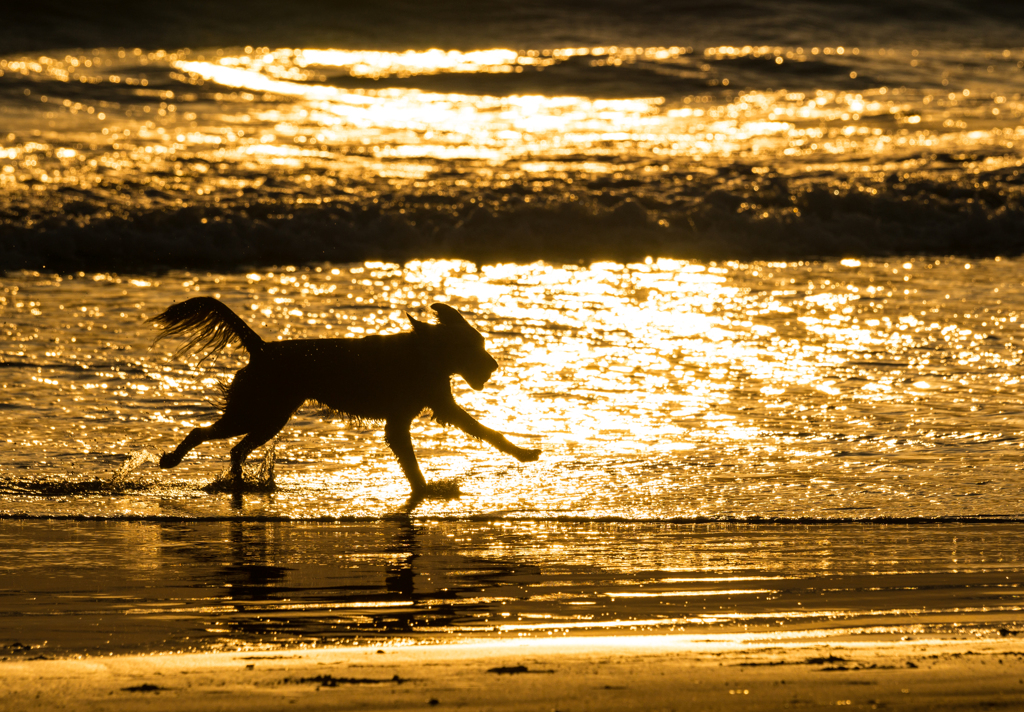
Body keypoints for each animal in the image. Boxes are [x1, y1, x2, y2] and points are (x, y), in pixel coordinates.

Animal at [149, 297, 544, 495]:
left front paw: (522, 452)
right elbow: (416, 457)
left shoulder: (439, 406)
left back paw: (240, 483)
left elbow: (486, 431)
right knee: (204, 433)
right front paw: (425, 488)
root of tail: (262, 349)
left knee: (236, 447)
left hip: (270, 415)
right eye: (472, 346)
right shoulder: (401, 422)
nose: (493, 366)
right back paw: (173, 460)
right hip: (259, 409)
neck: (425, 353)